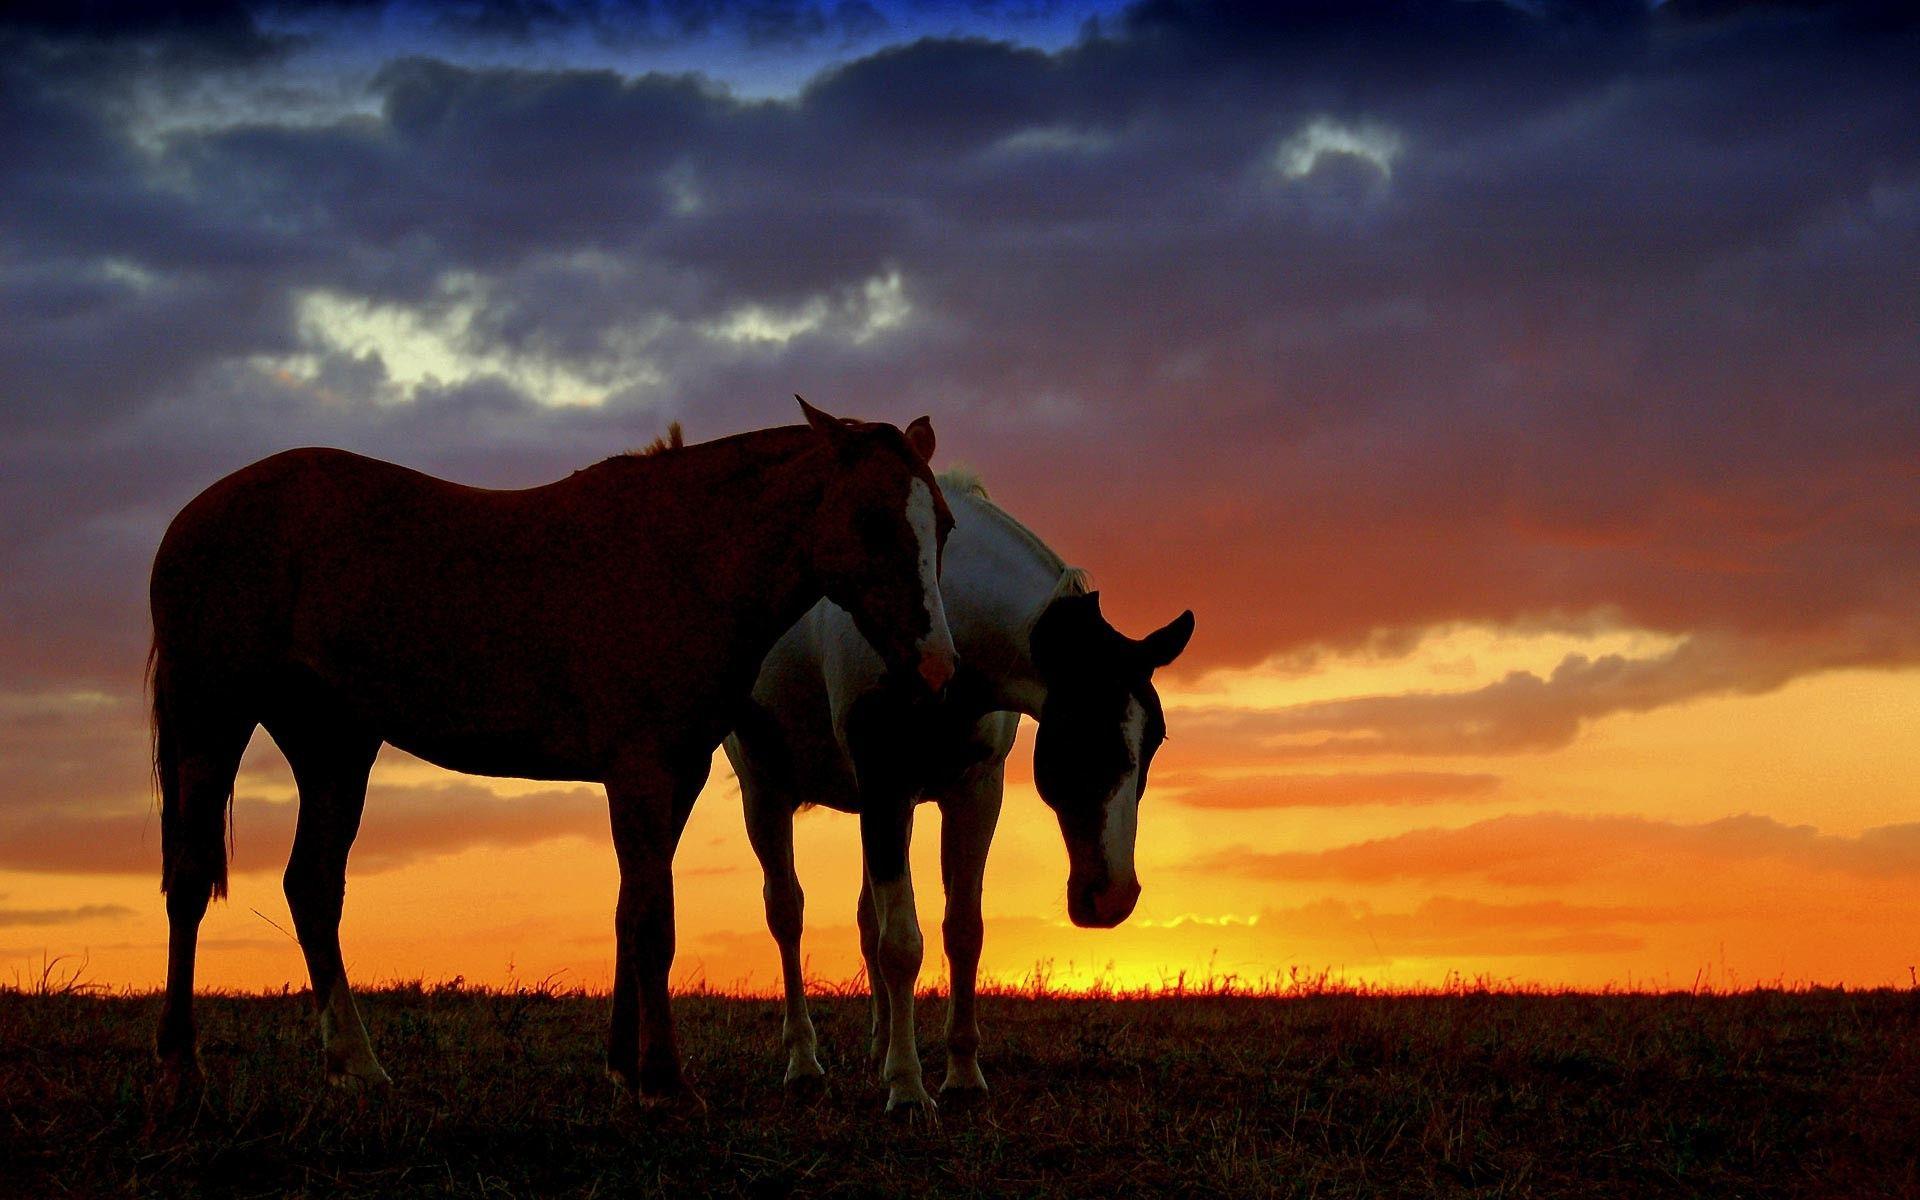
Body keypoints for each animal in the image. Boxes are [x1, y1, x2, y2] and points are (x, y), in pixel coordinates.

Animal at [149, 398, 957, 1100]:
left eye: (943, 526)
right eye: (873, 521)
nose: (935, 667)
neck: (682, 558)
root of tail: (192, 517)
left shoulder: (680, 773)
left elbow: (633, 911)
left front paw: (625, 1068)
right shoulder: (640, 770)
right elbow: (654, 921)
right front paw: (666, 1083)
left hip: (334, 748)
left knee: (312, 888)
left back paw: (357, 1066)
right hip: (211, 725)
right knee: (190, 882)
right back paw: (183, 1069)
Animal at [723, 470, 1193, 1113]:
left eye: (1155, 740)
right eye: (1081, 733)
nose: (1113, 897)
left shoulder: (973, 792)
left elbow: (961, 932)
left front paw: (962, 1074)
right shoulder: (885, 783)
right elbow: (902, 943)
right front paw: (907, 1087)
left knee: (865, 918)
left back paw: (877, 1045)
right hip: (766, 793)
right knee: (786, 914)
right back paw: (803, 1062)